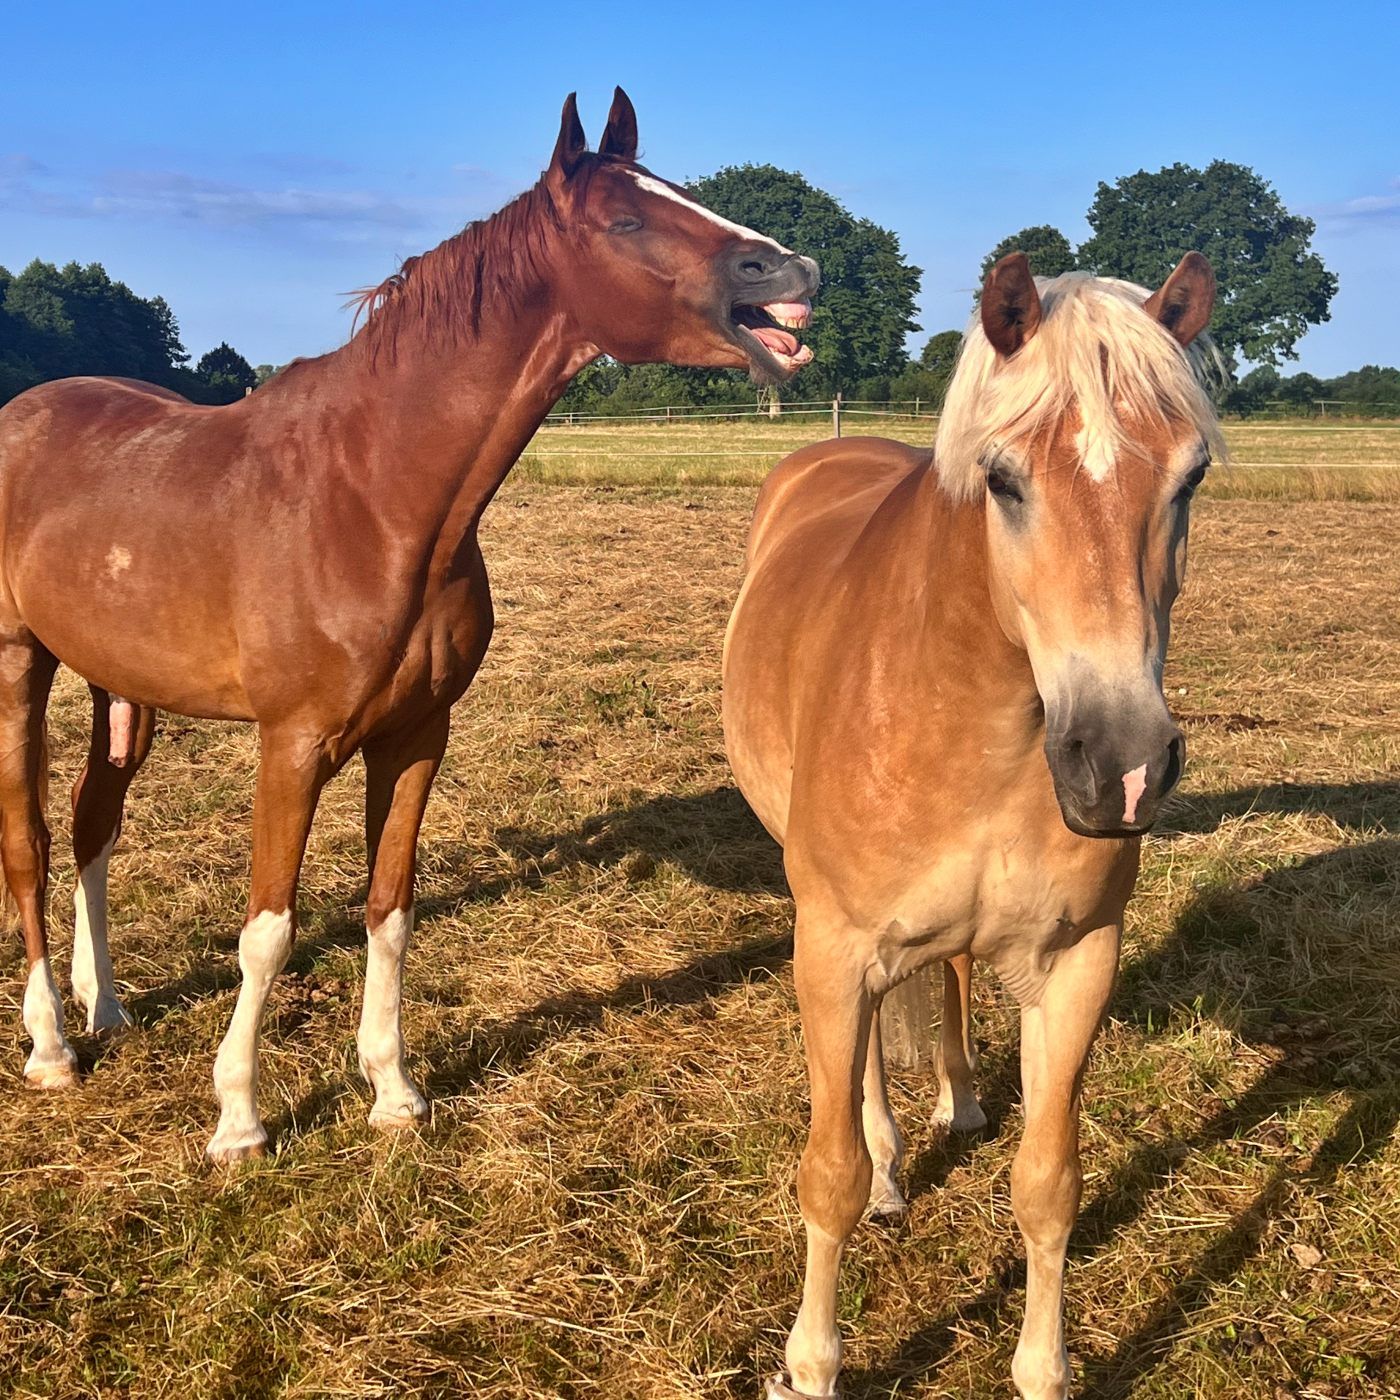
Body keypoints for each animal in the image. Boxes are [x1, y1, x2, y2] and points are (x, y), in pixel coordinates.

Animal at [0, 88, 818, 1163]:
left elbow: (390, 910)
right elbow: (269, 927)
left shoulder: (417, 734)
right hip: (19, 666)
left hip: (118, 685)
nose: (795, 271)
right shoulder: (294, 743)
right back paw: (52, 1045)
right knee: (29, 844)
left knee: (94, 823)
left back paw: (108, 1008)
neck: (375, 495)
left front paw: (393, 1092)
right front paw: (239, 1120)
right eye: (624, 221)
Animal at [723, 251, 1222, 1399]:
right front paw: (810, 1362)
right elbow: (826, 1172)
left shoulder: (1079, 961)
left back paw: (955, 1100)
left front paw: (1042, 1367)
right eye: (1002, 479)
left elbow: (1049, 1181)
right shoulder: (835, 946)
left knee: (947, 975)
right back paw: (892, 1164)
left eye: (1188, 479)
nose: (1122, 767)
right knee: (863, 1068)